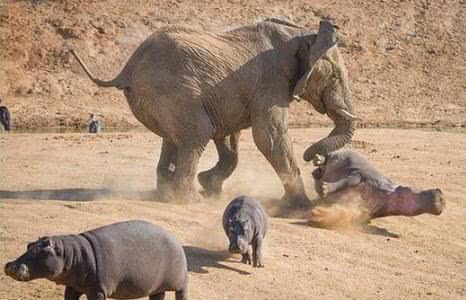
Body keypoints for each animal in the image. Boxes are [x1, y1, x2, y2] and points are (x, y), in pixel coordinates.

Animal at [3, 219, 189, 298]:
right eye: (28, 245)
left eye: (45, 250)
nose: (11, 265)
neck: (72, 254)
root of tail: (175, 238)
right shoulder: (73, 287)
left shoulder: (97, 289)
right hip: (156, 287)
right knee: (158, 295)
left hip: (180, 281)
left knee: (182, 292)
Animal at [71, 18, 358, 206]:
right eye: (334, 76)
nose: (316, 159)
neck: (301, 34)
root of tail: (127, 68)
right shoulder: (271, 83)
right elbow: (269, 136)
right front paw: (301, 206)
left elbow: (229, 137)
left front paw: (211, 186)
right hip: (172, 92)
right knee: (197, 134)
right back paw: (188, 200)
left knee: (174, 139)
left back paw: (167, 194)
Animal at [310, 149, 444, 221]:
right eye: (408, 189)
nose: (440, 194)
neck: (388, 192)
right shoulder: (359, 174)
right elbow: (346, 181)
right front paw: (324, 189)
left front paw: (319, 213)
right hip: (340, 154)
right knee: (327, 157)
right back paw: (318, 159)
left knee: (318, 171)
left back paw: (316, 172)